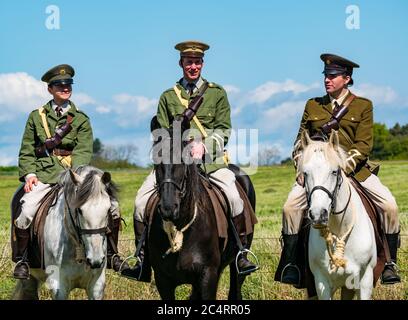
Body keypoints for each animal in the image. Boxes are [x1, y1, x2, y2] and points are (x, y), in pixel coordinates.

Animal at [12, 165, 115, 300]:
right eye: (79, 210)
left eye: (108, 209)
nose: (96, 260)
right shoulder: (58, 286)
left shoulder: (96, 286)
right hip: (29, 279)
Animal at [300, 131, 376, 300]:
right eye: (305, 173)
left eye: (334, 171)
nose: (317, 214)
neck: (341, 228)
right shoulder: (321, 283)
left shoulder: (365, 280)